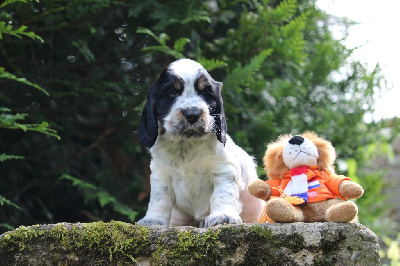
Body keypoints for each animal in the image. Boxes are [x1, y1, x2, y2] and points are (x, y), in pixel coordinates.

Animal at [136, 58, 264, 227]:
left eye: (204, 93)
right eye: (172, 92)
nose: (192, 114)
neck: (187, 143)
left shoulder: (223, 169)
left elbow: (222, 193)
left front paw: (223, 216)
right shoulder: (161, 173)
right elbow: (159, 198)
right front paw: (153, 220)